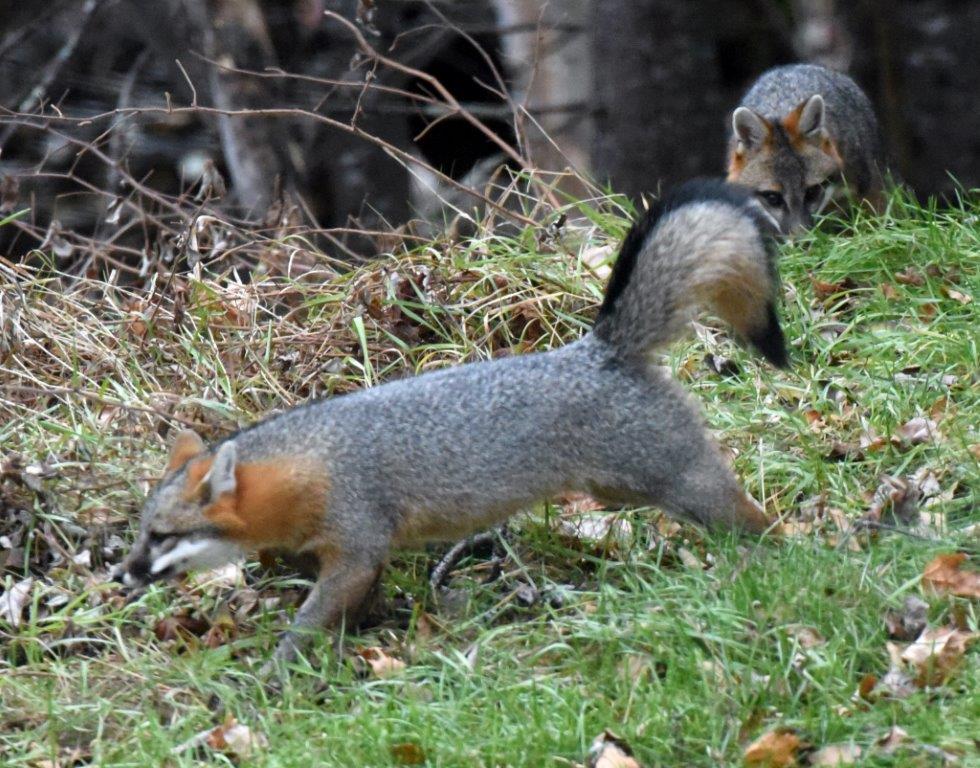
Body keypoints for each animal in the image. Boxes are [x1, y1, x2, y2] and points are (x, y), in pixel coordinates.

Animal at [116, 179, 788, 665]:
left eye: (162, 537)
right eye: (143, 532)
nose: (120, 576)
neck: (309, 464)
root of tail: (597, 346)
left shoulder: (356, 549)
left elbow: (305, 625)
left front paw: (279, 674)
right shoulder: (344, 556)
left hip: (680, 487)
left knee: (762, 526)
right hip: (621, 491)